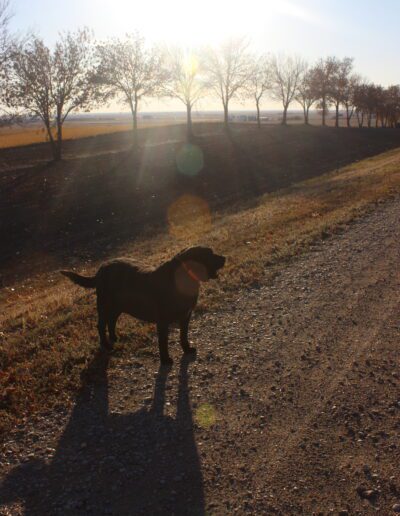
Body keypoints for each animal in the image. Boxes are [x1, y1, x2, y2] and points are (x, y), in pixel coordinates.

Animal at [61, 247, 227, 364]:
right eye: (210, 254)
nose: (224, 257)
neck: (183, 279)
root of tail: (100, 270)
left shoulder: (185, 316)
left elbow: (183, 336)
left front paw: (186, 349)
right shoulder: (163, 321)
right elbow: (163, 342)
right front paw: (165, 360)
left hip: (118, 306)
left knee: (111, 321)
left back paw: (115, 337)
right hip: (105, 305)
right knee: (101, 325)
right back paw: (107, 345)